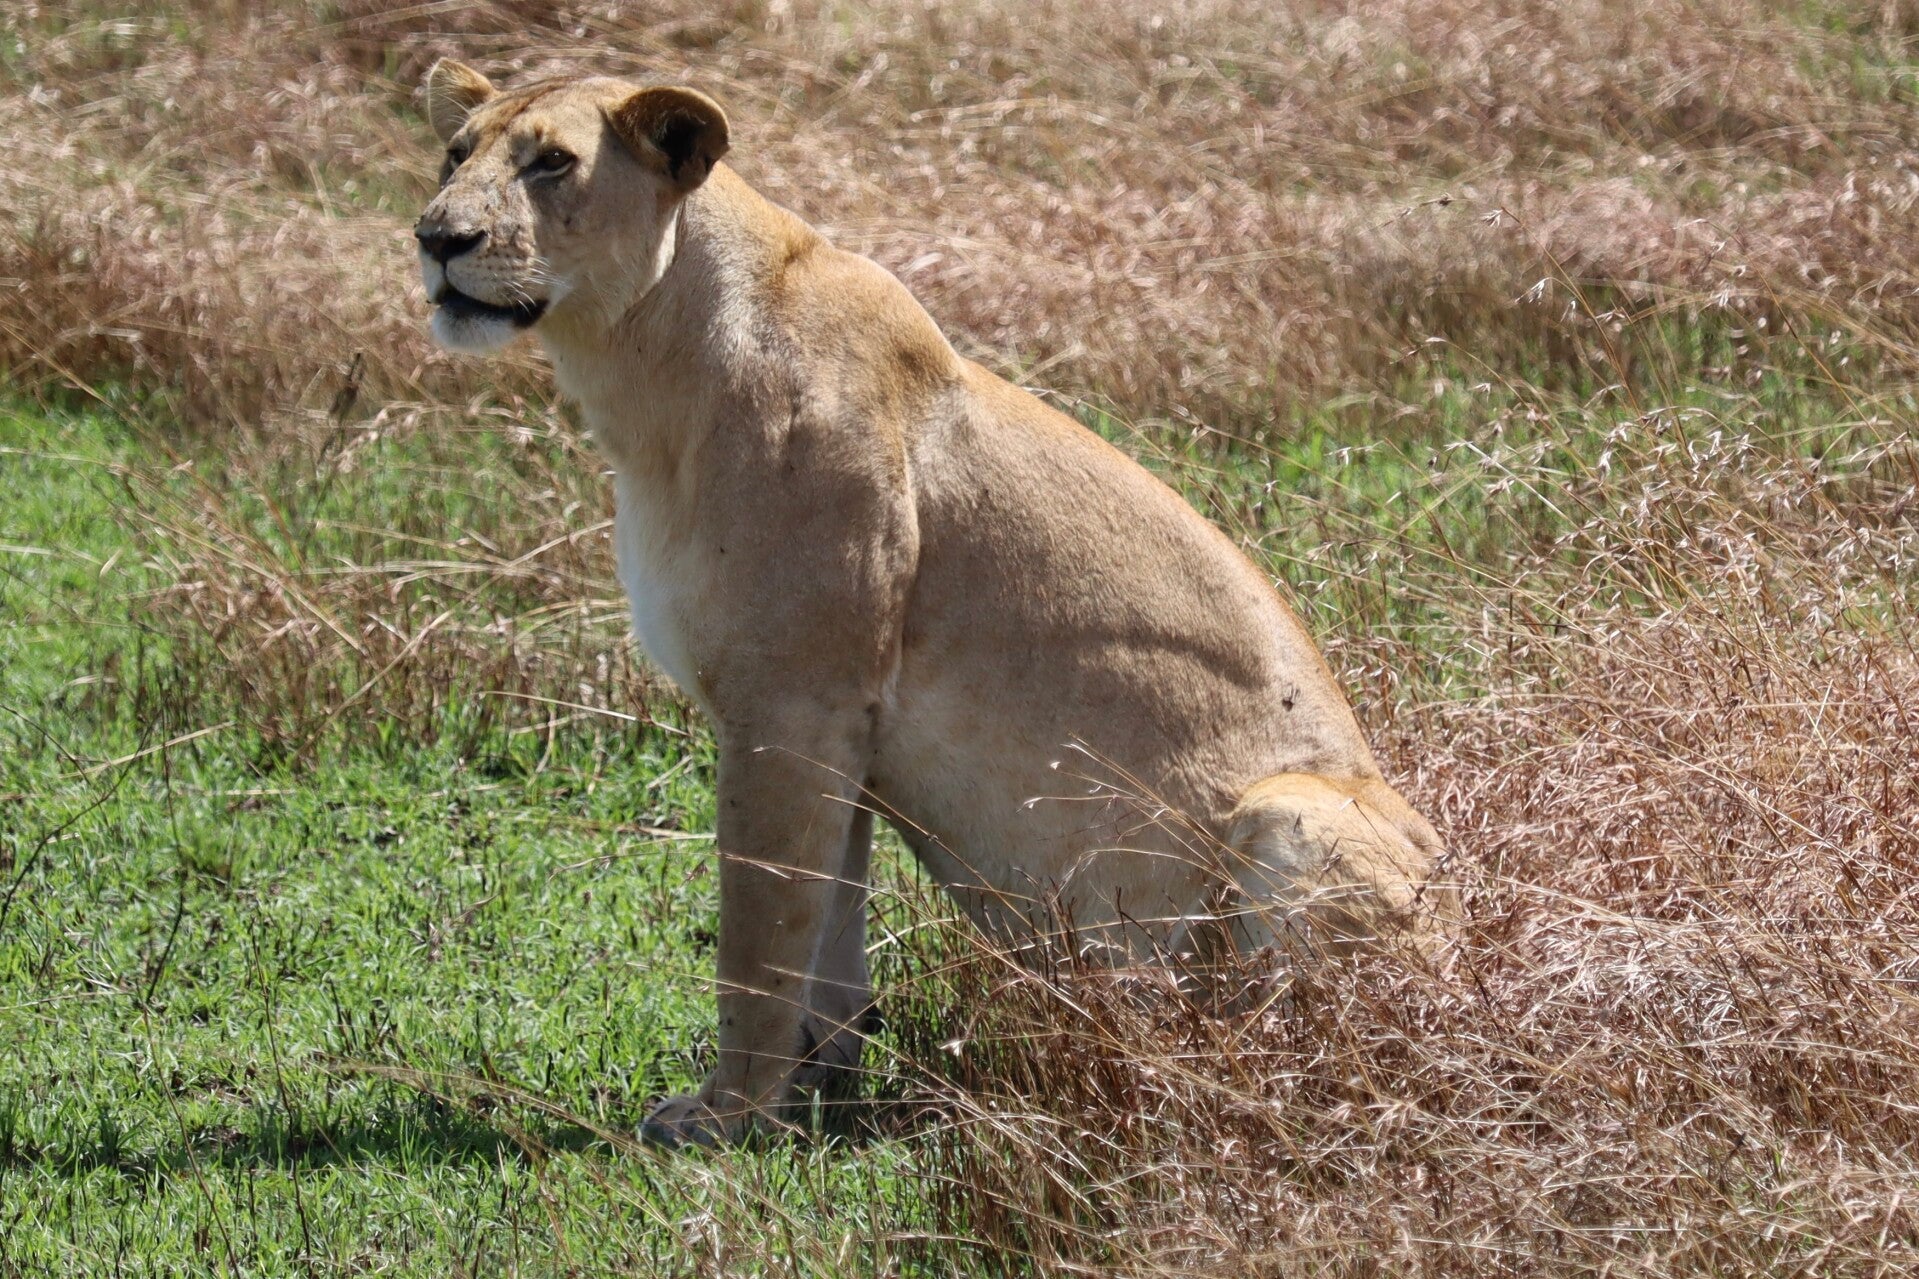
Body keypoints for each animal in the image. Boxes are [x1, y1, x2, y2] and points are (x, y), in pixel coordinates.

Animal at [412, 60, 1453, 1148]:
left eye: (551, 163)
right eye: (455, 155)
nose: (436, 239)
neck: (646, 379)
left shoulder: (790, 701)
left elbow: (757, 931)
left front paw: (728, 1115)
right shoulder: (836, 730)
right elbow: (824, 926)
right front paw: (817, 1091)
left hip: (1288, 812)